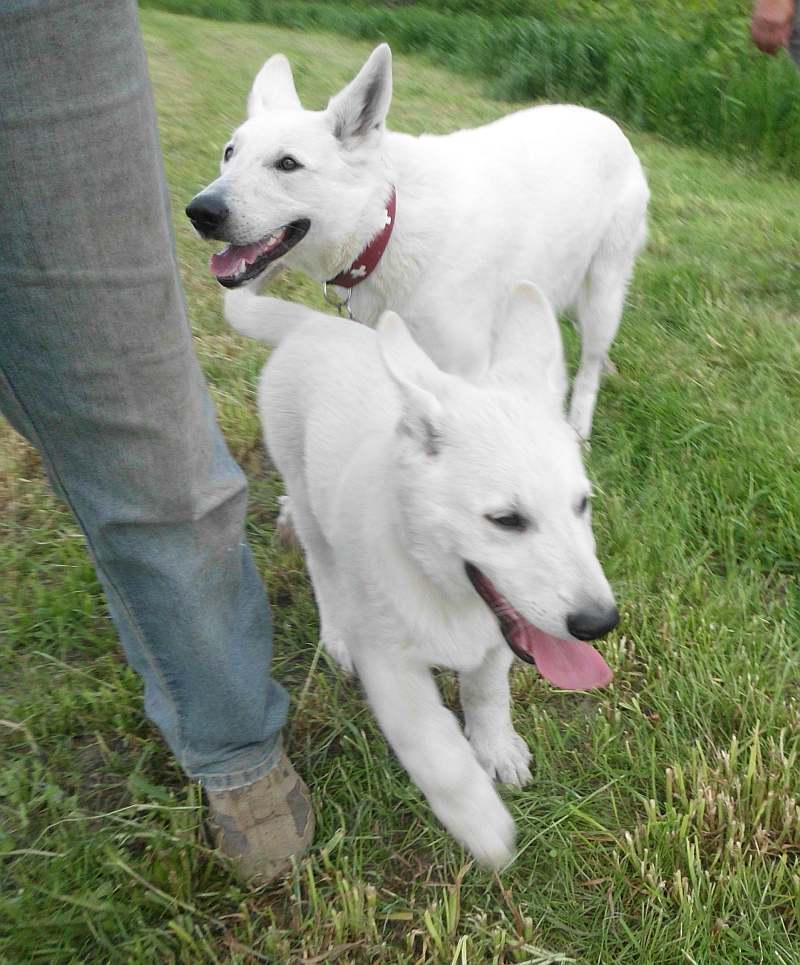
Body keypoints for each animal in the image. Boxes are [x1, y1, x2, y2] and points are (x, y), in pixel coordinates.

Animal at [188, 43, 648, 438]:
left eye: (287, 164)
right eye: (229, 153)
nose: (200, 213)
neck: (386, 231)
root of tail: (609, 124)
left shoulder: (466, 371)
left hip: (603, 295)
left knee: (587, 368)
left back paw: (579, 426)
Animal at [225, 278, 620, 868]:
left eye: (582, 505)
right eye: (506, 520)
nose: (599, 624)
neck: (439, 587)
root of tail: (314, 324)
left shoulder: (498, 639)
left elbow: (486, 695)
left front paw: (496, 750)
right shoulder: (390, 669)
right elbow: (437, 751)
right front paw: (482, 826)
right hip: (305, 493)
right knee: (323, 567)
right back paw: (334, 630)